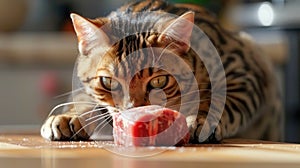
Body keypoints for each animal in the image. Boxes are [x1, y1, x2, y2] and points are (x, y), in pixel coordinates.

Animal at [40, 0, 284, 143]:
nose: (133, 109)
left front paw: (200, 118)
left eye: (158, 82)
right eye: (108, 82)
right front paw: (69, 116)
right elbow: (84, 97)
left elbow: (220, 100)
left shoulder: (245, 71)